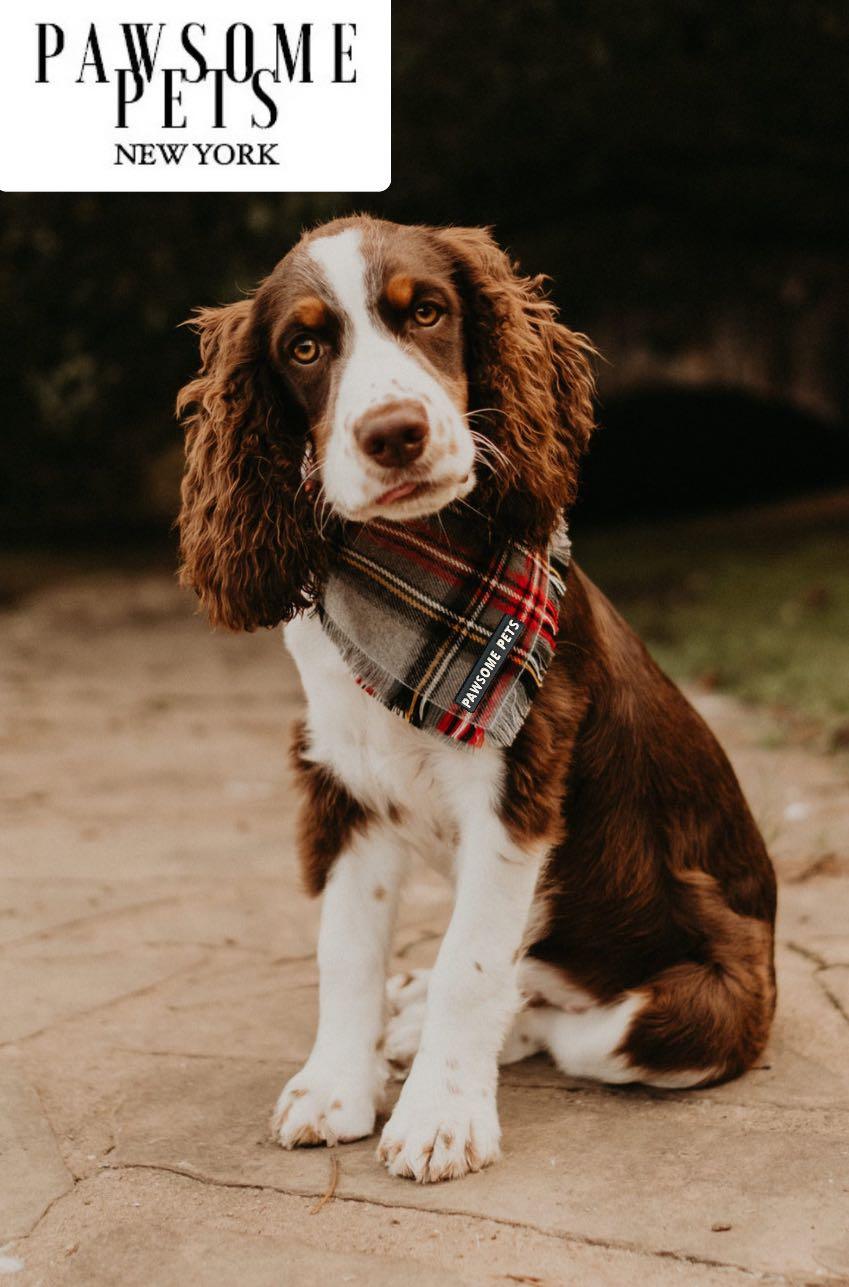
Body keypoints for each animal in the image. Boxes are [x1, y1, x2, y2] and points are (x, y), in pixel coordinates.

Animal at [177, 216, 776, 1178]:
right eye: (304, 347)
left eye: (425, 311)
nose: (393, 433)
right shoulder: (344, 782)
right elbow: (344, 947)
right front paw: (333, 1087)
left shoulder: (515, 786)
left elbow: (474, 963)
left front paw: (440, 1117)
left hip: (697, 1008)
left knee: (568, 1016)